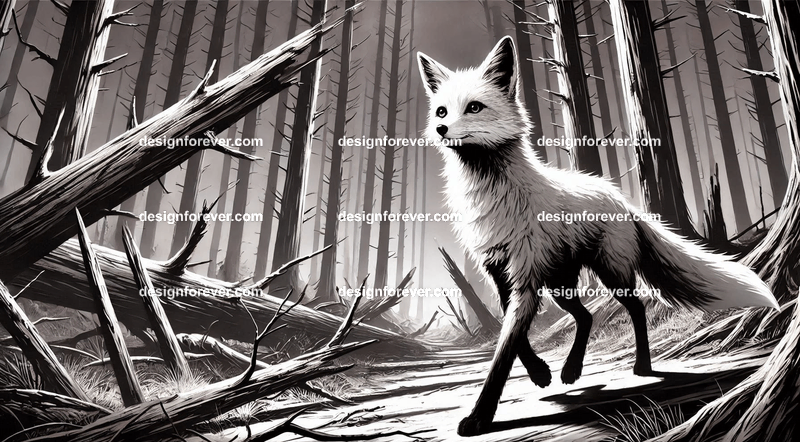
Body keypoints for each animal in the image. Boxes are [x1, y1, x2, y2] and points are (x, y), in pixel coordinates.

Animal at [416, 36, 780, 436]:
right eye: (441, 111)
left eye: (474, 107)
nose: (440, 130)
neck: (493, 198)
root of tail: (621, 198)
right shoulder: (499, 271)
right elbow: (514, 338)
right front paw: (539, 373)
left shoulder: (525, 277)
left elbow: (504, 351)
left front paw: (480, 417)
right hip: (560, 285)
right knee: (587, 316)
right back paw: (571, 370)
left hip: (609, 273)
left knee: (634, 308)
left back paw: (641, 366)